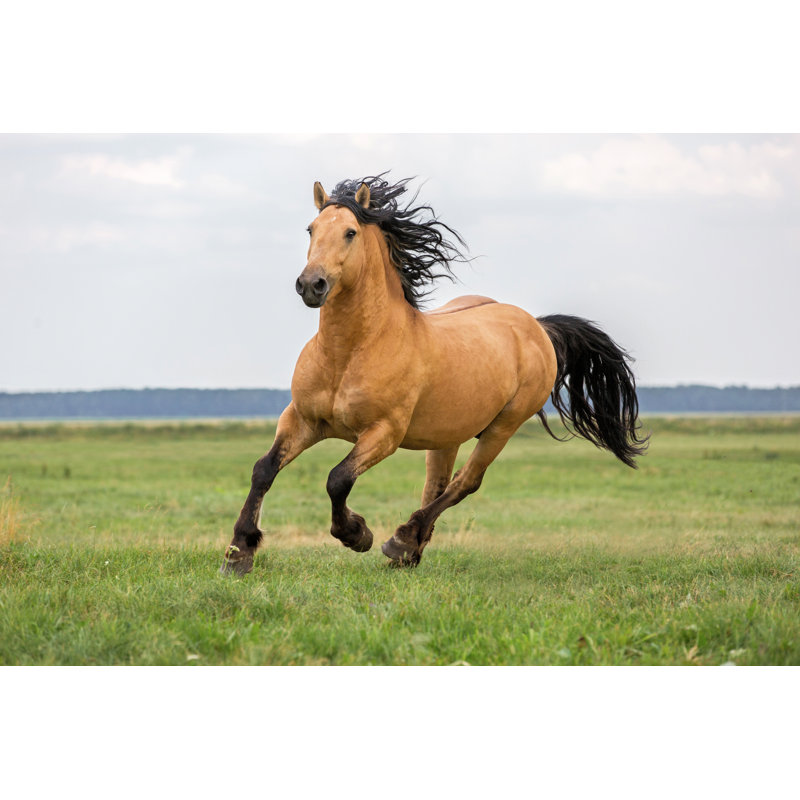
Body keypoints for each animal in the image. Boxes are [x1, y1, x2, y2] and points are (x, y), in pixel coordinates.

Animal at [222, 174, 648, 574]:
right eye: (311, 229)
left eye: (350, 232)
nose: (312, 285)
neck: (350, 352)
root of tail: (537, 326)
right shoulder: (302, 420)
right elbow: (263, 470)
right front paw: (239, 552)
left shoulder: (384, 433)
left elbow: (337, 478)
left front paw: (357, 534)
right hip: (448, 434)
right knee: (437, 486)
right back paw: (409, 551)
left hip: (503, 426)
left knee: (464, 483)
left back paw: (400, 541)